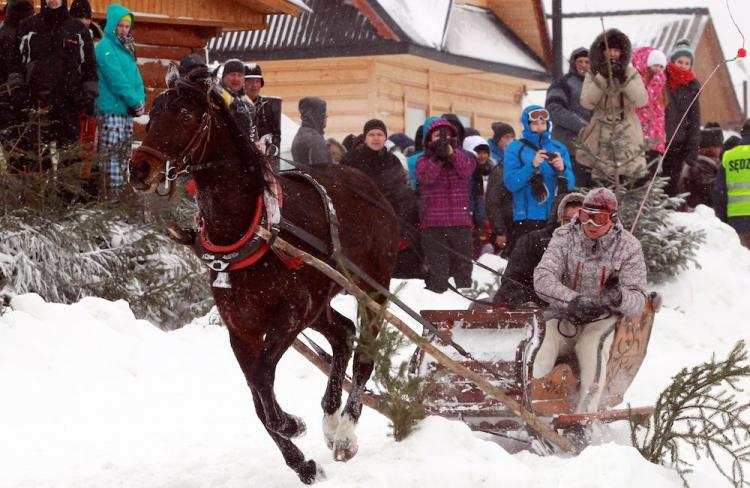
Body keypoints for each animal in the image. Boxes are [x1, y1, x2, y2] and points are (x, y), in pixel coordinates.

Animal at [129, 69, 402, 484]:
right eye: (153, 112)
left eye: (185, 114)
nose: (139, 168)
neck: (251, 225)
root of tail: (370, 187)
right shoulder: (241, 328)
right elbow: (258, 398)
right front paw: (302, 462)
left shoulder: (288, 317)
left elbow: (262, 380)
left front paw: (291, 424)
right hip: (320, 303)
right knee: (342, 334)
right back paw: (329, 417)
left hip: (371, 290)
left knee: (365, 354)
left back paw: (344, 432)